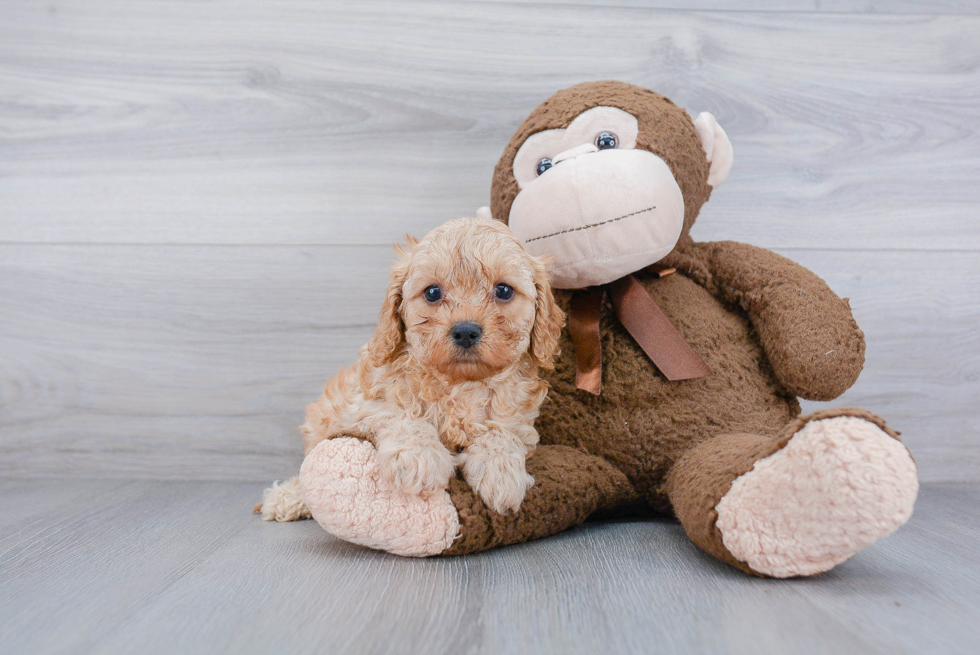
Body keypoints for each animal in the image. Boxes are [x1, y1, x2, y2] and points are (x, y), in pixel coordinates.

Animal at [256, 219, 564, 524]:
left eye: (503, 291)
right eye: (432, 292)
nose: (465, 331)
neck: (460, 384)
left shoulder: (519, 420)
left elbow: (501, 431)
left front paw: (501, 472)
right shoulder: (363, 404)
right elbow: (401, 416)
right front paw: (418, 459)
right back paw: (287, 498)